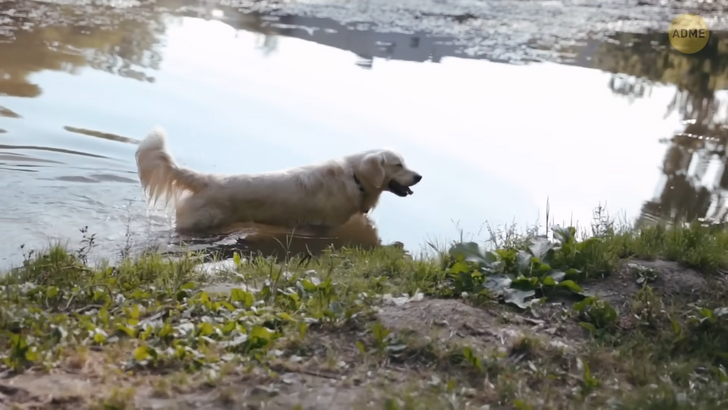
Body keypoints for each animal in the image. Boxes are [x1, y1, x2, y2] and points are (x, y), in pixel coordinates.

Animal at [134, 126, 424, 235]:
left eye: (405, 163)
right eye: (398, 165)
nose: (419, 176)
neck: (355, 179)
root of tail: (207, 179)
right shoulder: (325, 226)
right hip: (200, 222)